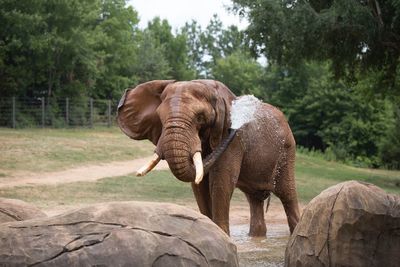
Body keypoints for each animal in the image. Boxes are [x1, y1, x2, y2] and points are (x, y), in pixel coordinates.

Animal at [118, 79, 300, 237]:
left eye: (200, 118)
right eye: (160, 118)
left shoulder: (234, 141)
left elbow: (221, 182)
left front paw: (223, 236)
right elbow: (199, 185)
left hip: (287, 151)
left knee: (287, 194)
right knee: (254, 200)